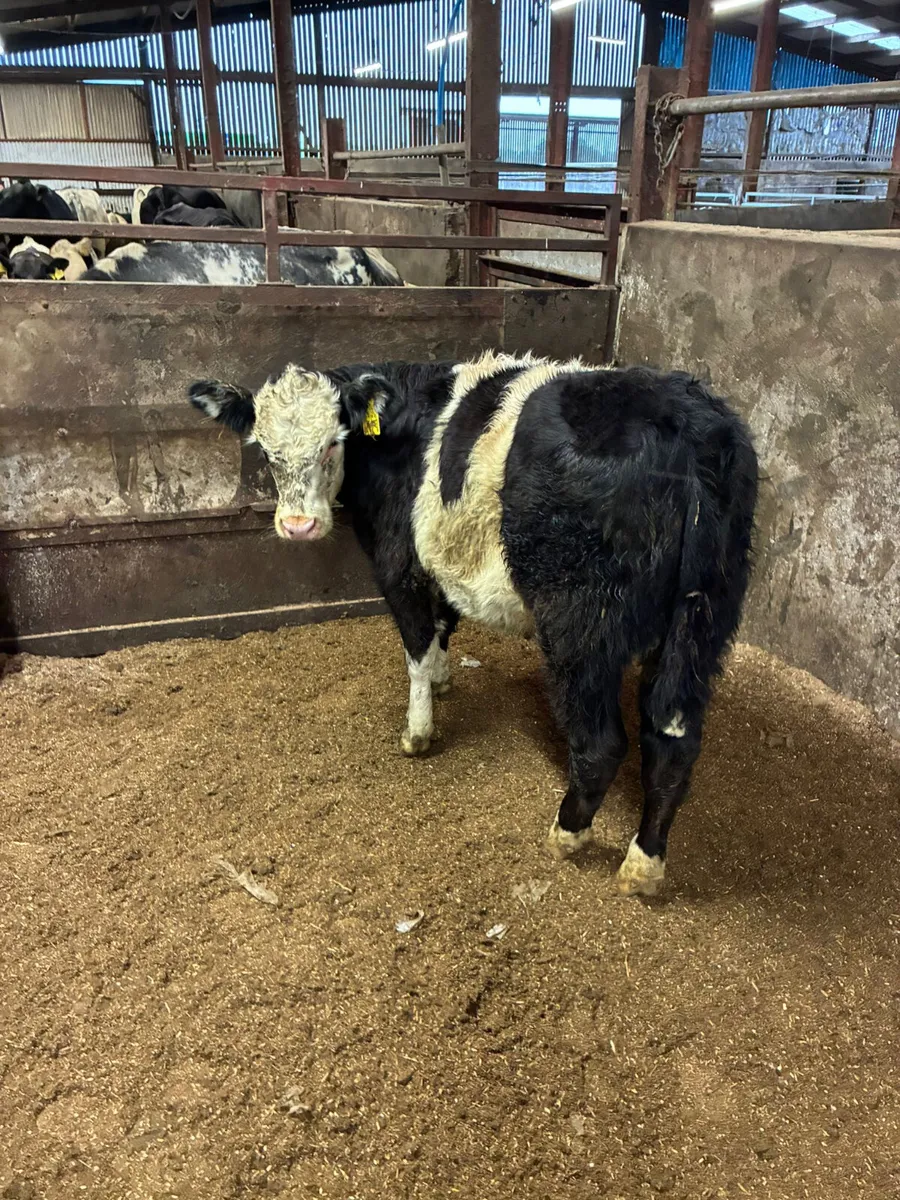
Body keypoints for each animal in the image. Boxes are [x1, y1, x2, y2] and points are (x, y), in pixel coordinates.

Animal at [188, 352, 758, 896]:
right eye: (265, 451)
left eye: (334, 443)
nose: (298, 525)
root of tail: (686, 422)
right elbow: (443, 626)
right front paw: (444, 680)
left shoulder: (398, 564)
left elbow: (417, 648)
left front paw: (418, 731)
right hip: (702, 620)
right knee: (673, 740)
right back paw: (644, 864)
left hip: (582, 627)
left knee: (602, 743)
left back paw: (566, 834)